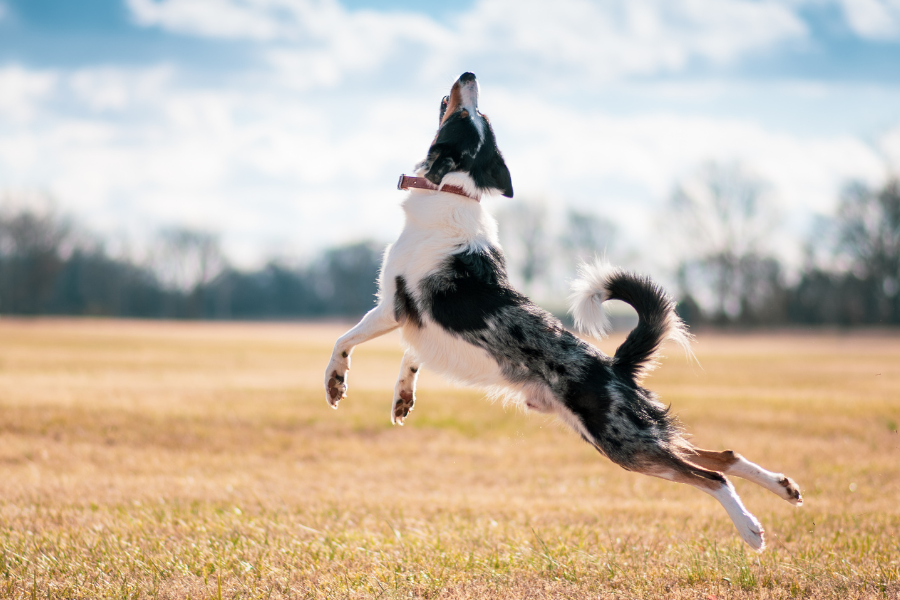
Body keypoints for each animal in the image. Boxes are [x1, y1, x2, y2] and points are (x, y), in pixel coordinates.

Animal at [326, 72, 800, 552]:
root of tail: (616, 366)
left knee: (712, 476)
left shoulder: (392, 306)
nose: (469, 75)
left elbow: (345, 340)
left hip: (623, 443)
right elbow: (412, 357)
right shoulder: (424, 328)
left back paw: (751, 528)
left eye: (467, 114)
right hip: (631, 436)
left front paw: (336, 382)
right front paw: (403, 398)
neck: (453, 187)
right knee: (722, 454)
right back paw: (783, 487)